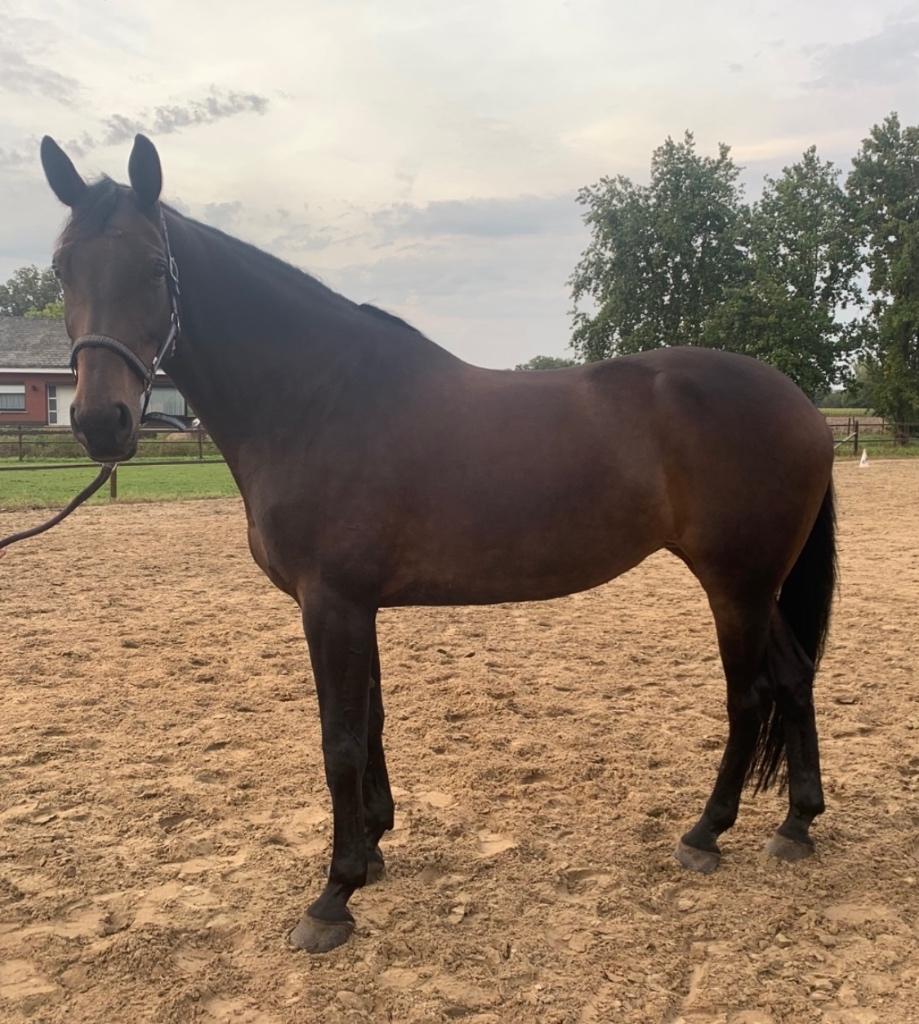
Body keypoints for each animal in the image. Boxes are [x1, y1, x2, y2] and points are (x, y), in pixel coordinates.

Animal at [38, 134, 836, 953]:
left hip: (734, 584)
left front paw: (333, 896)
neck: (318, 400)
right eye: (63, 267)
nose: (100, 422)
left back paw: (705, 834)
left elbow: (339, 741)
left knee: (748, 695)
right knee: (794, 677)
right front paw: (373, 849)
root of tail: (804, 409)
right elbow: (370, 723)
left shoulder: (331, 604)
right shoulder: (355, 604)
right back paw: (796, 824)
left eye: (150, 267)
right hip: (758, 586)